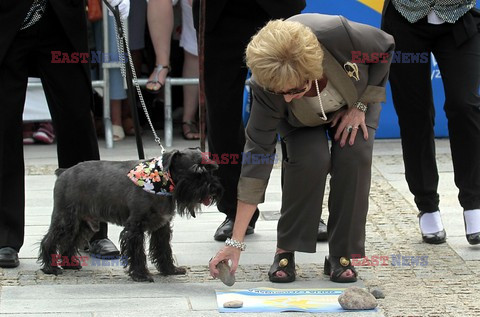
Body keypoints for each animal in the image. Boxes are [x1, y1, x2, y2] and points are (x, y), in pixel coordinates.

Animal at [38, 148, 222, 282]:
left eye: (212, 169)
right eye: (197, 172)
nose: (214, 188)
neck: (161, 181)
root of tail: (63, 172)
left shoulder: (162, 227)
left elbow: (163, 249)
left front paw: (169, 269)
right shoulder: (135, 228)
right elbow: (137, 252)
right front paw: (141, 274)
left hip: (83, 223)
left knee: (69, 241)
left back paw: (70, 264)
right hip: (65, 219)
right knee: (49, 240)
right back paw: (50, 267)